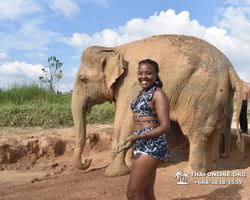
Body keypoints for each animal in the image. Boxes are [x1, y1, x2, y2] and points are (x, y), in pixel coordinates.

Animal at [71, 34, 243, 177]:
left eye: (83, 80)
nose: (88, 160)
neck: (114, 48)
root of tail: (231, 69)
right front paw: (133, 164)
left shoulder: (129, 84)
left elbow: (123, 121)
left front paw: (113, 174)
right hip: (220, 96)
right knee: (215, 133)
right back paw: (212, 169)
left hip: (202, 94)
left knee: (196, 133)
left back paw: (191, 172)